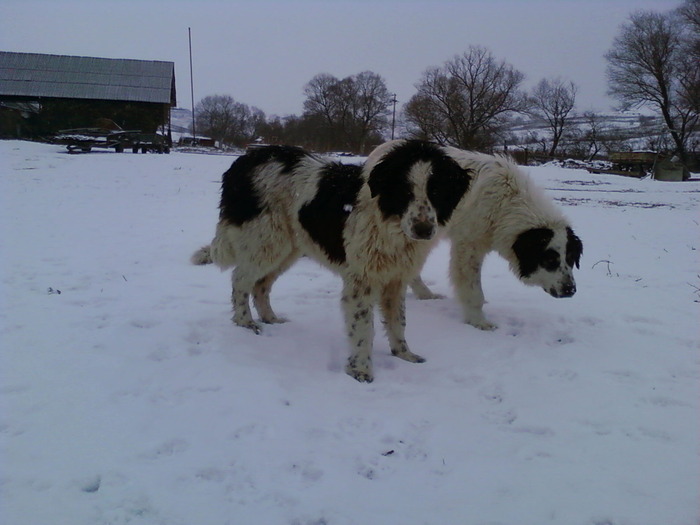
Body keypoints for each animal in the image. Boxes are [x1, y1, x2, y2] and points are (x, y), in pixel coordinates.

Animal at [191, 143, 470, 380]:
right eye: (405, 191)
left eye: (437, 191)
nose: (424, 230)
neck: (388, 220)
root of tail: (244, 161)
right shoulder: (362, 280)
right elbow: (363, 327)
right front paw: (361, 370)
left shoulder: (396, 279)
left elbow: (397, 321)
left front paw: (403, 355)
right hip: (266, 242)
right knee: (240, 279)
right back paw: (245, 322)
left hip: (287, 249)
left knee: (261, 285)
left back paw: (270, 318)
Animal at [370, 138, 584, 328]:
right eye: (549, 259)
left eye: (571, 258)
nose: (570, 290)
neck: (507, 204)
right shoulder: (468, 248)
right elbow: (473, 290)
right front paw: (478, 321)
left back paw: (426, 295)